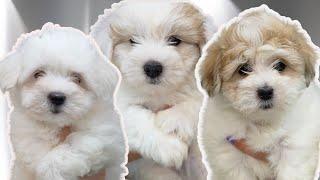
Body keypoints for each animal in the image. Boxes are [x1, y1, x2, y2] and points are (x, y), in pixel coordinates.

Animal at [0, 23, 127, 180]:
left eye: (77, 78)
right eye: (38, 74)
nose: (57, 97)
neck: (55, 124)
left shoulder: (106, 134)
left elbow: (79, 143)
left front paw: (49, 169)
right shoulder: (26, 133)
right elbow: (33, 145)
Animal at [90, 0, 214, 179]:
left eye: (174, 40)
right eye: (132, 41)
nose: (153, 68)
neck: (157, 93)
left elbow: (195, 104)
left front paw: (175, 120)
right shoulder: (118, 105)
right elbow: (135, 118)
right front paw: (167, 145)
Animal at [199, 4, 320, 180]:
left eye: (280, 65)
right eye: (243, 68)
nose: (265, 92)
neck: (263, 122)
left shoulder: (294, 147)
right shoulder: (231, 155)